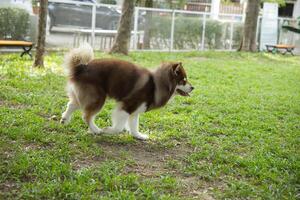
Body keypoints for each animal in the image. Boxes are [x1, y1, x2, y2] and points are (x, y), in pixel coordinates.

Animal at [60, 44, 195, 141]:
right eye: (183, 80)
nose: (193, 87)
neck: (156, 84)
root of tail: (82, 68)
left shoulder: (136, 109)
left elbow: (134, 125)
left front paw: (138, 136)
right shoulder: (127, 106)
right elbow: (119, 127)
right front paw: (108, 131)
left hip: (85, 96)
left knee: (72, 104)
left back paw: (64, 119)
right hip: (98, 98)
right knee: (86, 115)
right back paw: (96, 129)